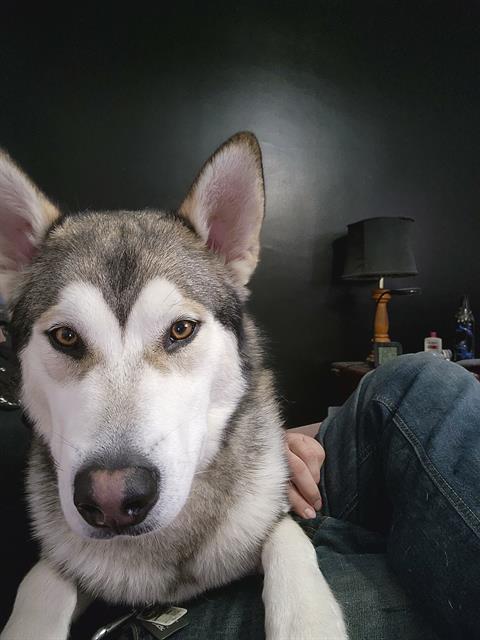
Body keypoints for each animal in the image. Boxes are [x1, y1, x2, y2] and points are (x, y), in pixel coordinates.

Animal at [0, 134, 346, 640]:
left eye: (181, 329)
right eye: (65, 337)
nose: (113, 498)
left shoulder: (266, 512)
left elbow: (289, 540)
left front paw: (308, 620)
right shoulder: (67, 558)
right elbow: (39, 585)